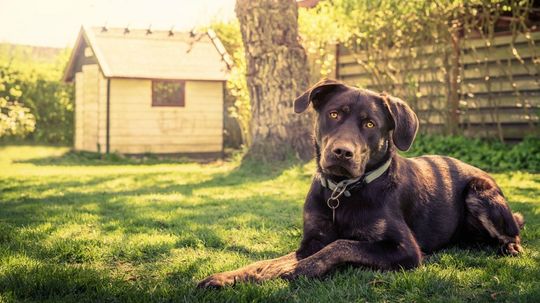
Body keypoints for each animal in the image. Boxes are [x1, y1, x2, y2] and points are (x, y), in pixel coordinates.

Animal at [198, 79, 524, 290]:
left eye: (370, 124)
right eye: (333, 114)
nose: (342, 152)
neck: (343, 192)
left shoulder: (404, 249)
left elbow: (341, 245)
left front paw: (299, 269)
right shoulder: (310, 241)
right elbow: (266, 263)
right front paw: (229, 276)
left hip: (480, 192)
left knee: (514, 232)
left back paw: (510, 246)